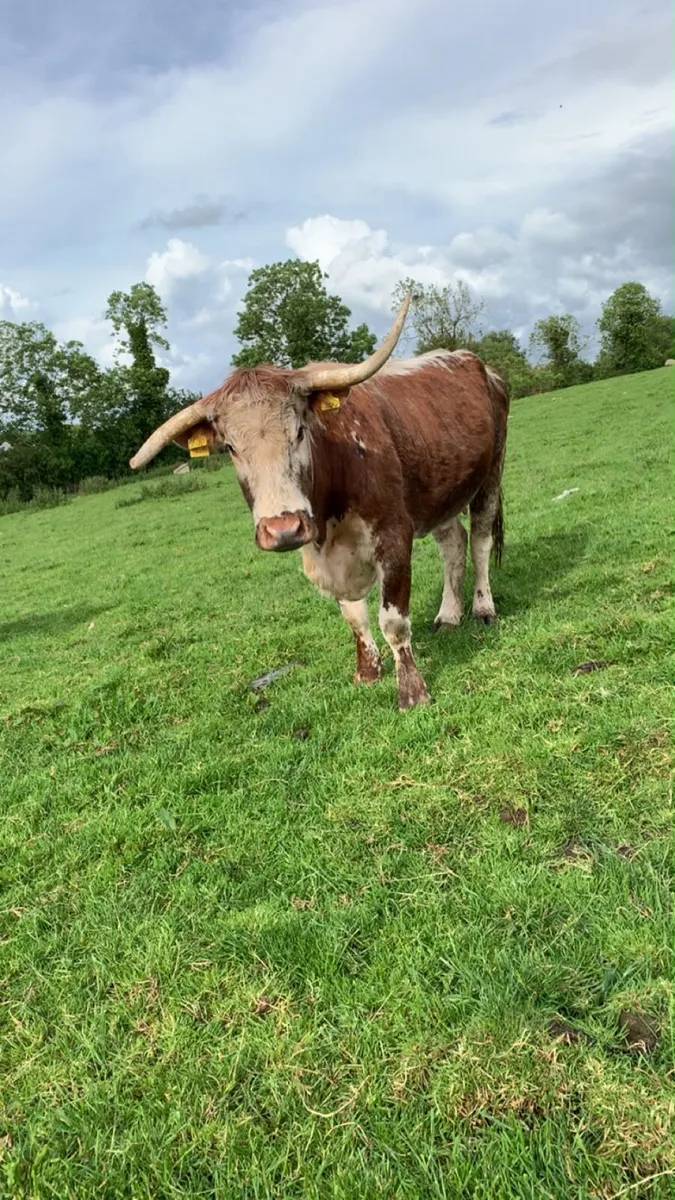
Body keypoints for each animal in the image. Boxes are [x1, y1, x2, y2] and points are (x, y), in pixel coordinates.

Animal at [129, 296, 509, 711]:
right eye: (230, 447)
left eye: (299, 430)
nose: (282, 529)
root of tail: (478, 364)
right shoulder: (325, 555)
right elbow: (355, 617)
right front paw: (367, 674)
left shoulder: (394, 535)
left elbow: (393, 622)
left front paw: (412, 691)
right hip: (441, 491)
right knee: (453, 544)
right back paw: (448, 616)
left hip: (491, 475)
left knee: (480, 541)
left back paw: (483, 608)